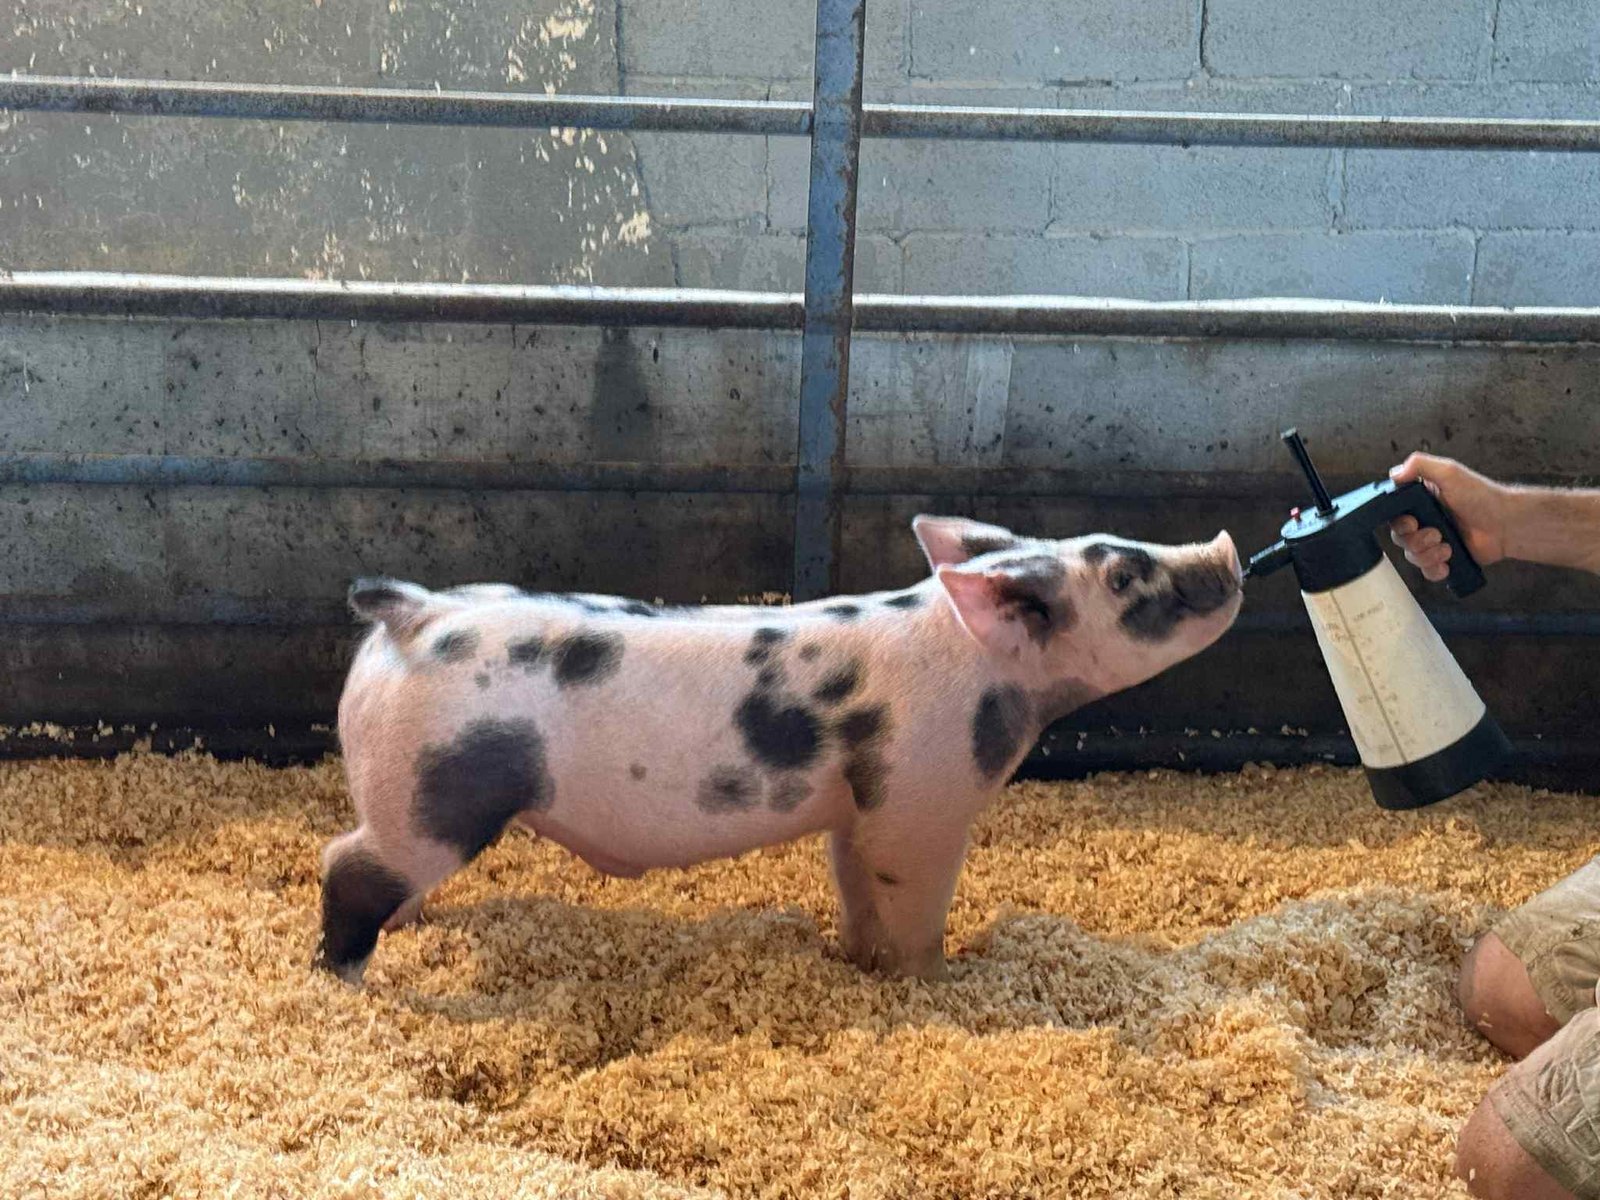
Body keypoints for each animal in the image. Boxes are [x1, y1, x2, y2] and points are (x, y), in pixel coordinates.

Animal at [317, 515, 1244, 985]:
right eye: (1124, 578)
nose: (1227, 550)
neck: (980, 669)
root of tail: (415, 613)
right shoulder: (922, 801)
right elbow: (916, 903)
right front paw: (931, 983)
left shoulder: (858, 811)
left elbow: (856, 888)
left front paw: (861, 966)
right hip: (438, 791)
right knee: (346, 864)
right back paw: (348, 978)